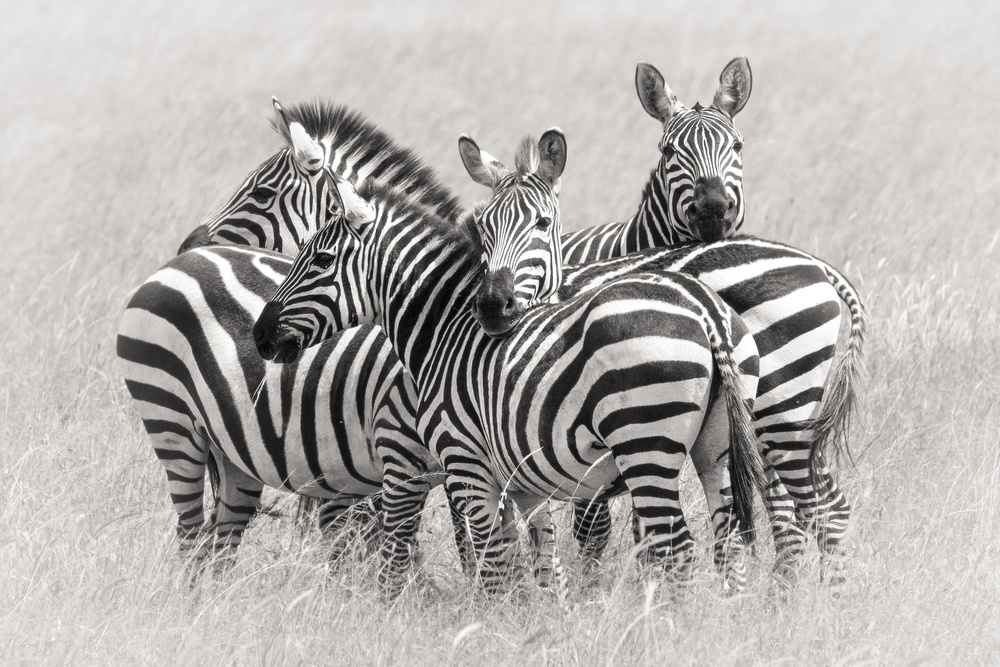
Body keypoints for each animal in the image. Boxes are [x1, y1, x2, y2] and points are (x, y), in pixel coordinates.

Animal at [253, 170, 768, 594]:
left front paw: (491, 628)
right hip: (716, 449)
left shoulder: (466, 465)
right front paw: (541, 627)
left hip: (645, 444)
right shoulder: (522, 481)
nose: (259, 335)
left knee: (677, 548)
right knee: (727, 544)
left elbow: (494, 565)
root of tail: (705, 308)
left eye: (320, 260)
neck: (444, 331)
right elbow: (540, 564)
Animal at [457, 61, 867, 583]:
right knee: (810, 506)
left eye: (738, 146)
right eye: (669, 151)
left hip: (779, 410)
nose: (713, 209)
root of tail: (818, 266)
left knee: (812, 506)